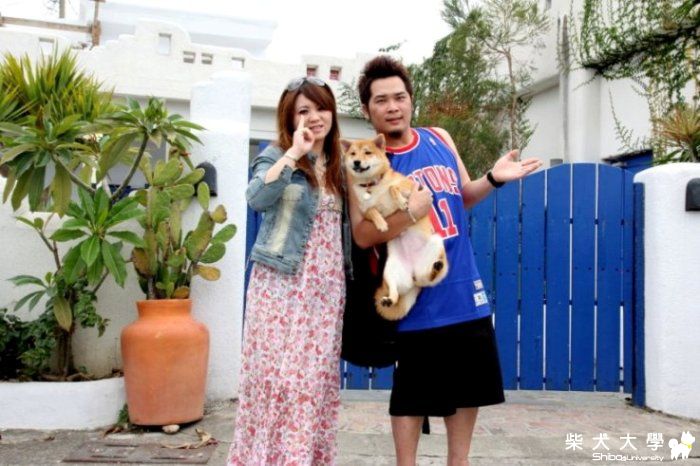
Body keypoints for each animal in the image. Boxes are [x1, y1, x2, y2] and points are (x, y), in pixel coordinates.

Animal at [342, 134, 448, 320]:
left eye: (367, 153)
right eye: (353, 154)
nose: (356, 162)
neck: (371, 186)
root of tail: (414, 275)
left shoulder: (411, 187)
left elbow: (393, 186)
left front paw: (401, 202)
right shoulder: (364, 213)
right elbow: (372, 210)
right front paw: (382, 224)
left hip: (436, 242)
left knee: (429, 278)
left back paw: (436, 268)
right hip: (390, 272)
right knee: (396, 292)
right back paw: (389, 300)